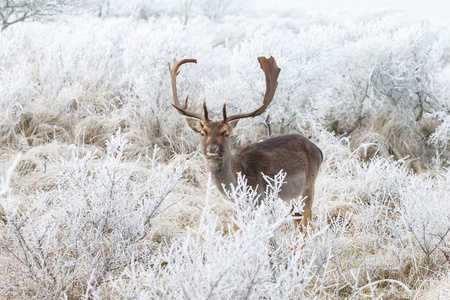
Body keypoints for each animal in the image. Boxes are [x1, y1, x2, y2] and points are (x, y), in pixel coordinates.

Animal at [167, 56, 322, 234]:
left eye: (226, 133)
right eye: (202, 132)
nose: (212, 148)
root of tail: (319, 151)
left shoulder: (265, 199)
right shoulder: (239, 206)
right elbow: (235, 231)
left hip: (308, 187)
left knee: (306, 225)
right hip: (292, 199)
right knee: (300, 225)